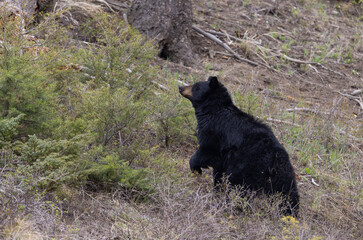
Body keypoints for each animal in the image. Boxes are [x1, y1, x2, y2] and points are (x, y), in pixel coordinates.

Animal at [180, 77, 302, 216]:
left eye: (196, 86)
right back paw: (290, 211)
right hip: (283, 172)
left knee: (238, 186)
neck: (212, 110)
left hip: (244, 165)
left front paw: (196, 168)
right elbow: (218, 170)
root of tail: (274, 158)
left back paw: (233, 205)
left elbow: (207, 151)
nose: (180, 87)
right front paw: (216, 188)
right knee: (288, 191)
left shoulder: (214, 133)